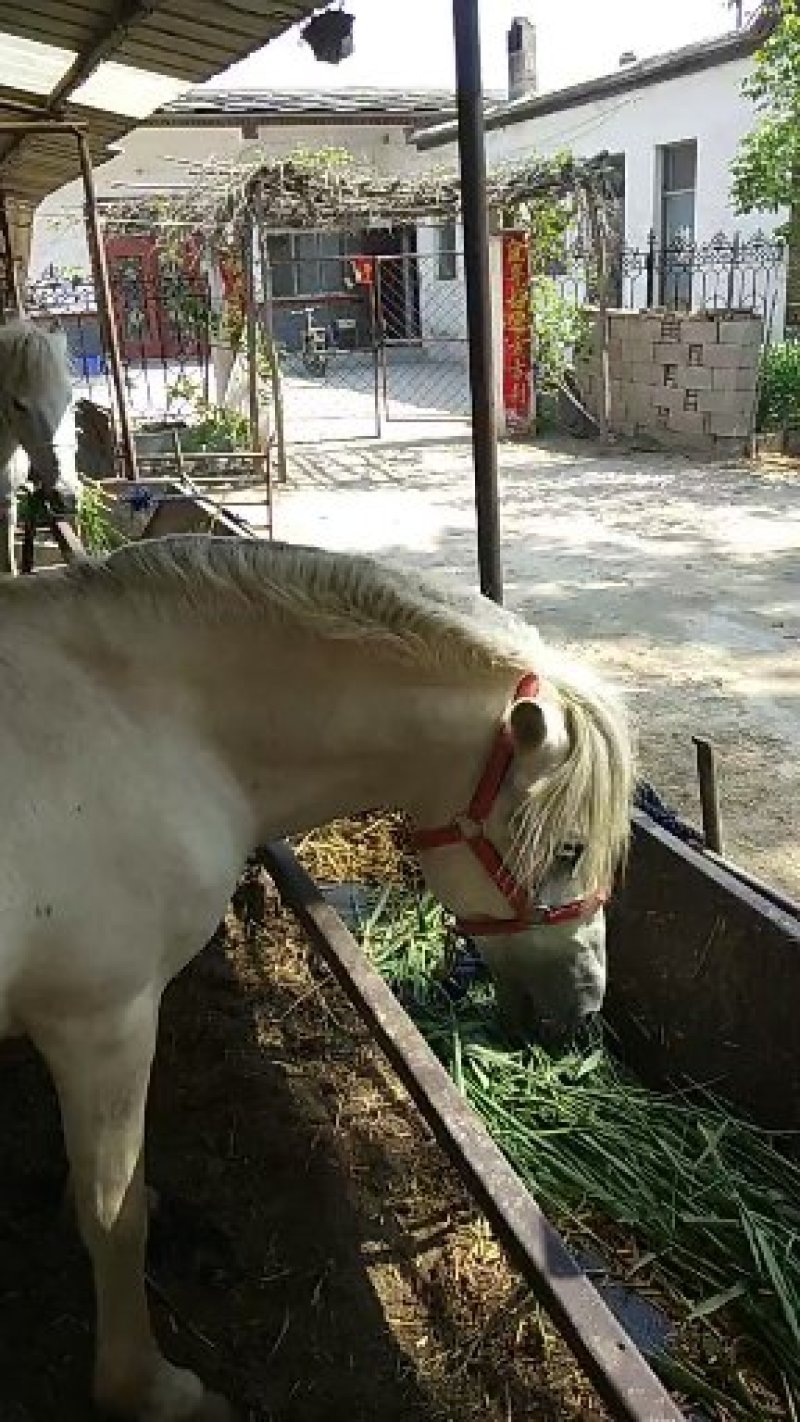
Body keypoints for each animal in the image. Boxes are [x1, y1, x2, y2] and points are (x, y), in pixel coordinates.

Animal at [0, 535, 633, 1420]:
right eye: (570, 848)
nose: (581, 1009)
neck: (140, 725)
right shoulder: (104, 1024)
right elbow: (112, 1219)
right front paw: (149, 1389)